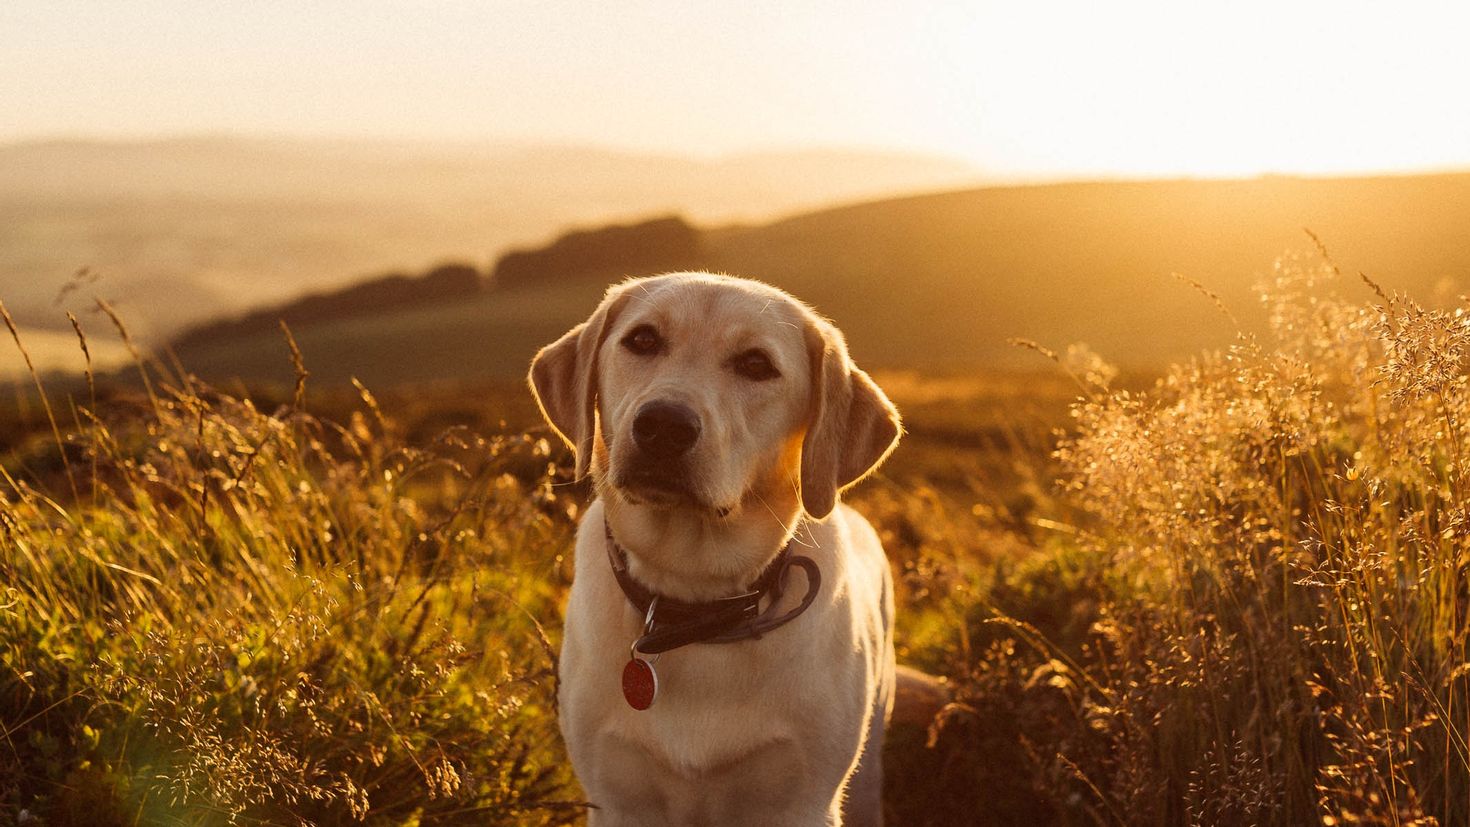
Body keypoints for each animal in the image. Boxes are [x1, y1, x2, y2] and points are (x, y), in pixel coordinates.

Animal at [529, 270, 893, 822]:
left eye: (756, 364)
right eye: (642, 339)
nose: (663, 425)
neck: (693, 604)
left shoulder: (803, 803)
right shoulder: (616, 799)